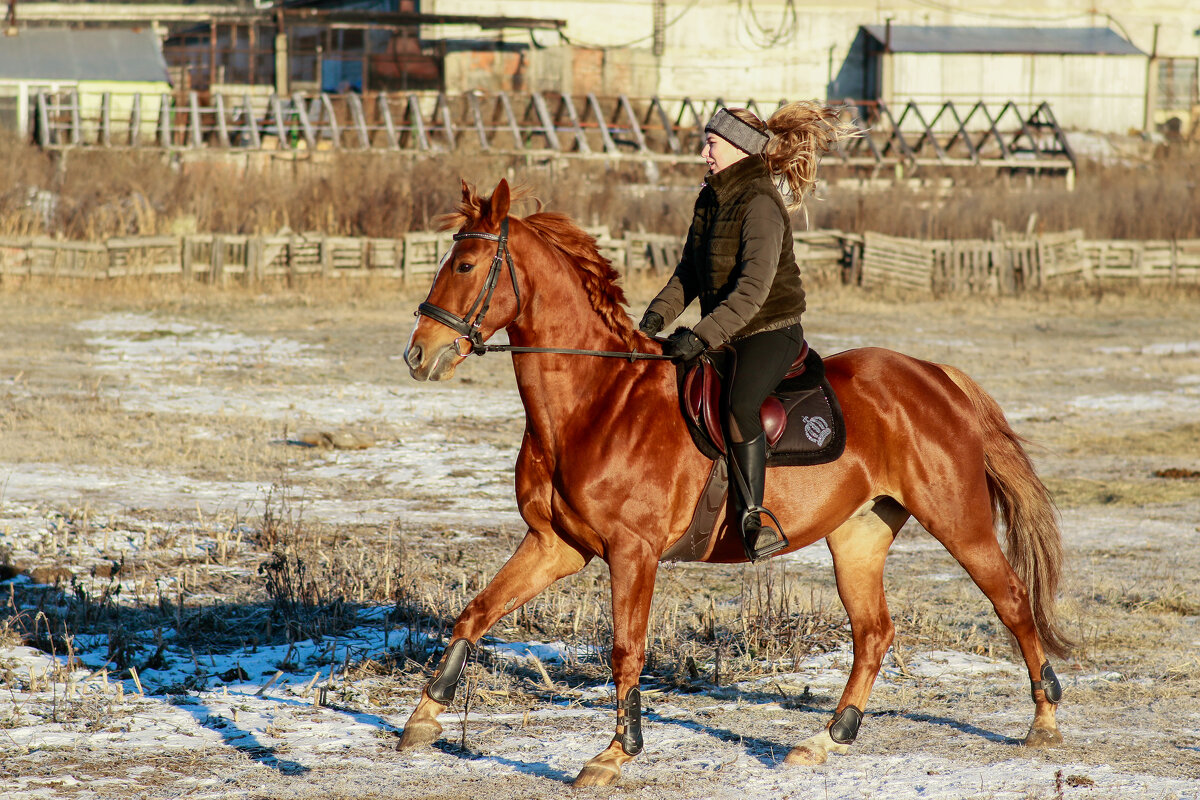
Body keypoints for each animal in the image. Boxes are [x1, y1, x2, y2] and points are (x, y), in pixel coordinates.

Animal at [398, 178, 1075, 786]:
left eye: (464, 264)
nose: (418, 355)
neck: (595, 401)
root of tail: (935, 376)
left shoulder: (632, 553)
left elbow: (625, 649)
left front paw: (615, 755)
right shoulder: (555, 545)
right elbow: (475, 612)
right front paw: (423, 717)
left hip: (957, 520)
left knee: (1011, 600)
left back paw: (1043, 720)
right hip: (858, 535)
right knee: (873, 632)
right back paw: (826, 739)